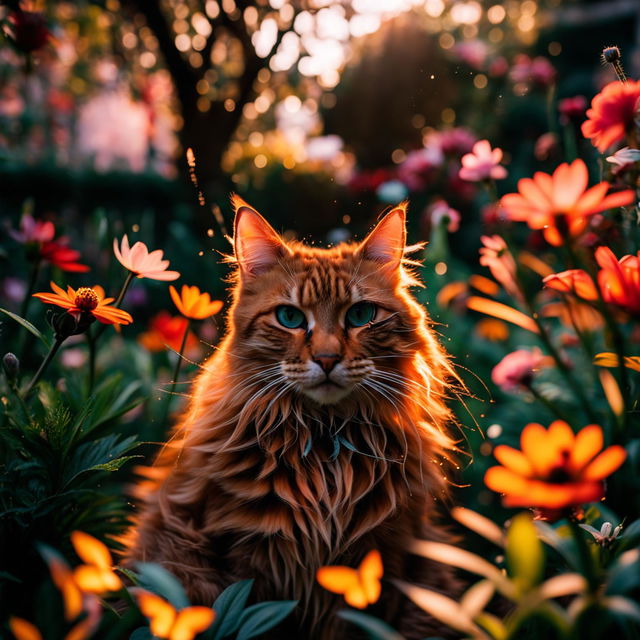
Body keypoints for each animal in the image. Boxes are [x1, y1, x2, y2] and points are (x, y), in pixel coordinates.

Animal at [127, 198, 460, 636]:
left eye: (361, 315)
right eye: (289, 318)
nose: (327, 358)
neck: (324, 445)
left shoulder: (384, 559)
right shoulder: (242, 559)